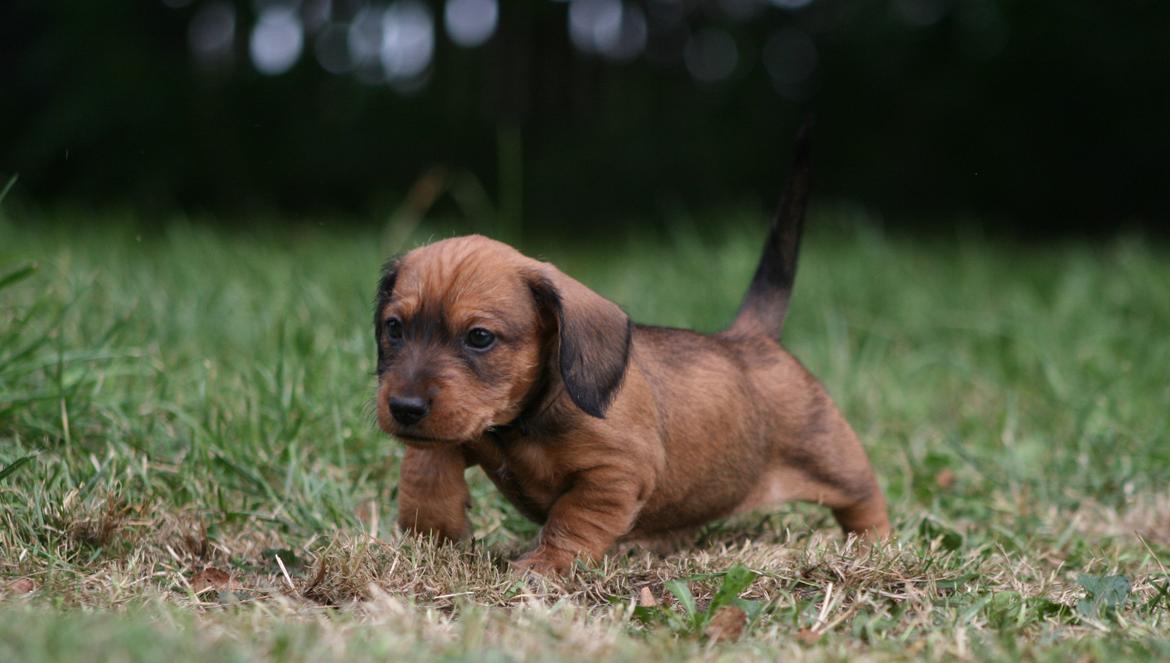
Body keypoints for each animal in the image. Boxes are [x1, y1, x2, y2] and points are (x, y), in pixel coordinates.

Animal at [374, 125, 884, 575]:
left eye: (479, 337)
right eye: (394, 329)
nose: (404, 407)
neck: (521, 423)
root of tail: (749, 336)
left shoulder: (614, 475)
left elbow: (572, 520)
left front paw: (545, 565)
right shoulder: (461, 431)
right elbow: (426, 463)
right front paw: (434, 527)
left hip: (836, 463)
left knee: (866, 499)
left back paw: (874, 546)